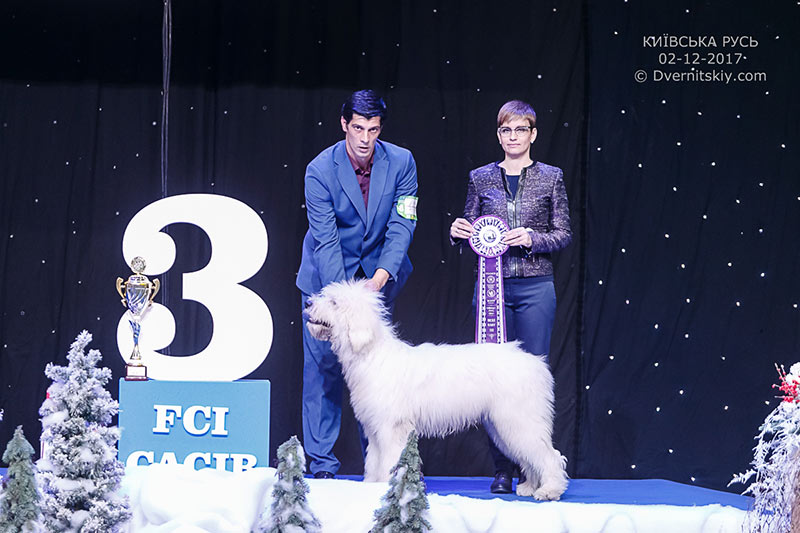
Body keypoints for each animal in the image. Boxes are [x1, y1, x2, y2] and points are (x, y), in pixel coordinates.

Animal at [304, 279, 568, 500]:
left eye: (334, 302)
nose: (307, 303)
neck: (370, 353)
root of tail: (537, 364)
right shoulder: (375, 428)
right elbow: (374, 461)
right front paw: (372, 484)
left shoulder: (391, 428)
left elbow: (389, 460)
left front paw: (387, 486)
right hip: (505, 426)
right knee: (530, 457)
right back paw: (529, 487)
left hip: (519, 420)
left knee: (549, 455)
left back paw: (549, 490)